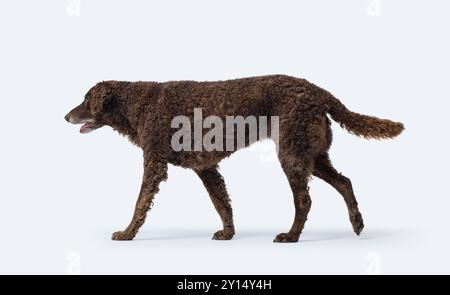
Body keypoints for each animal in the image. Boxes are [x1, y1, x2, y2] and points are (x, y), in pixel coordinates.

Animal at [64, 74, 404, 243]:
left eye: (85, 99)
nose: (66, 115)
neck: (139, 102)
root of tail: (319, 91)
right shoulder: (206, 168)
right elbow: (221, 203)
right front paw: (228, 233)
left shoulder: (154, 164)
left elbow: (139, 204)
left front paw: (127, 234)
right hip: (313, 153)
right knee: (344, 181)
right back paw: (357, 223)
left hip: (292, 153)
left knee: (305, 200)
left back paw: (292, 236)